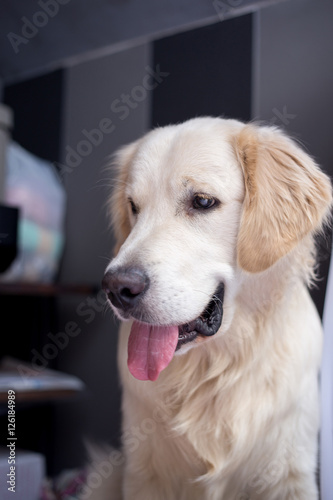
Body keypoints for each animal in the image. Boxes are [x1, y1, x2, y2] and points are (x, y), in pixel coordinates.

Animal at [87, 118, 330, 500]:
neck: (213, 368)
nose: (116, 288)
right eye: (134, 207)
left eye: (202, 201)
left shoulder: (288, 474)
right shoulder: (144, 473)